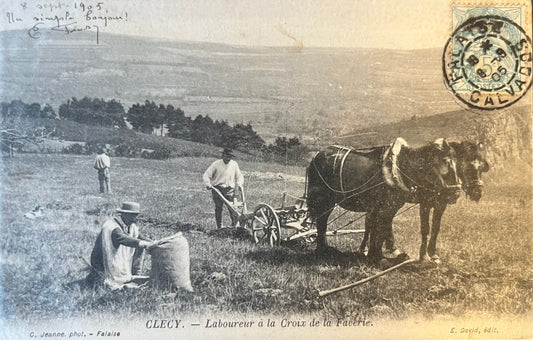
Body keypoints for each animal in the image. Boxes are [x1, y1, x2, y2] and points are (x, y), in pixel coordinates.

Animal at [308, 138, 462, 262]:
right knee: (322, 221)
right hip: (322, 200)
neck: (399, 168)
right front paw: (377, 256)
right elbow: (381, 226)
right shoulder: (391, 206)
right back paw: (322, 250)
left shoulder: (395, 205)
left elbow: (383, 225)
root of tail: (317, 155)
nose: (456, 192)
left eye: (457, 163)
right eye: (444, 163)